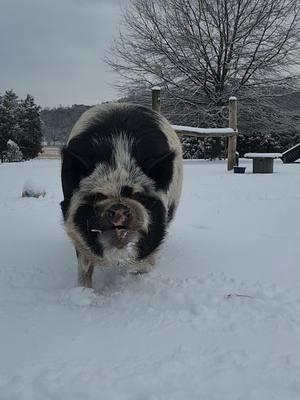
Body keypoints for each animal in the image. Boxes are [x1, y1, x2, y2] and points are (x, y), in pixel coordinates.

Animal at [60, 103, 183, 290]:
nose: (119, 208)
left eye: (139, 196)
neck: (119, 154)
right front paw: (85, 290)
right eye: (98, 195)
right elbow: (84, 265)